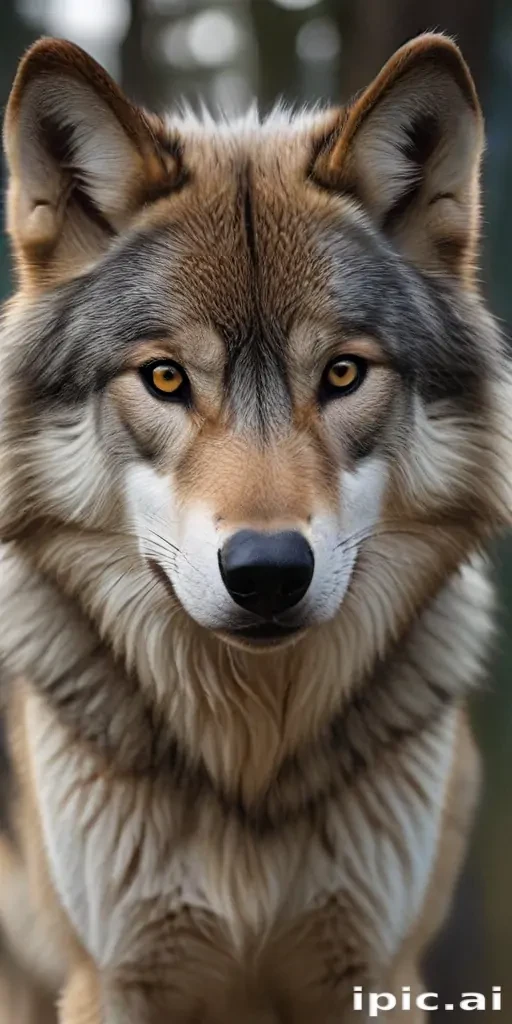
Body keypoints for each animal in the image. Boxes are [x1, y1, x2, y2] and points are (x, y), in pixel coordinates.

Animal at [0, 30, 509, 1024]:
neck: (250, 755)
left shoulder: (380, 968)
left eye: (343, 373)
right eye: (165, 378)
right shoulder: (109, 978)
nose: (269, 570)